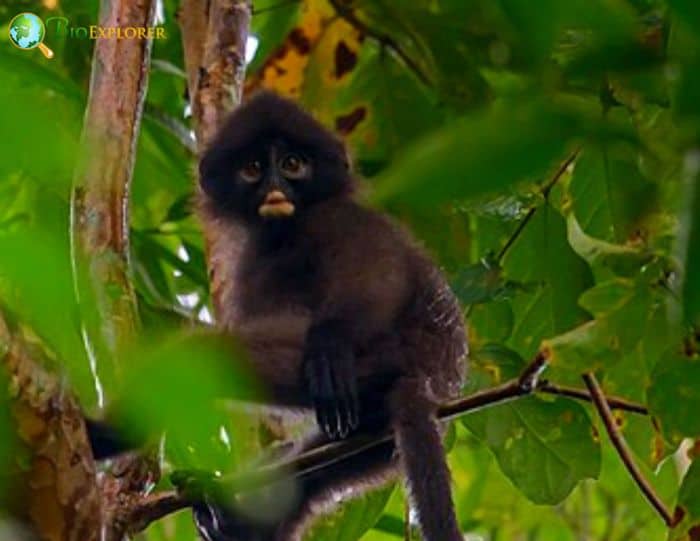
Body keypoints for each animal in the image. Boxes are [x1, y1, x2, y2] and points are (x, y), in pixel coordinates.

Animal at [193, 93, 464, 540]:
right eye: (253, 168)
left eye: (292, 164)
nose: (275, 188)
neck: (285, 232)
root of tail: (430, 379)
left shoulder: (338, 217)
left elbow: (379, 274)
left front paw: (330, 344)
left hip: (383, 357)